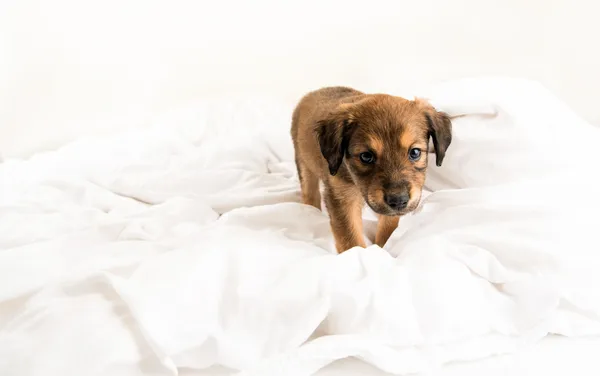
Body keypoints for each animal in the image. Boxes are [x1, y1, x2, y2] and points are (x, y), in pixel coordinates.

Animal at [290, 86, 450, 254]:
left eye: (415, 152)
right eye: (366, 156)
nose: (399, 200)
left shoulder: (390, 211)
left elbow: (388, 227)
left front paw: (383, 247)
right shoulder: (341, 198)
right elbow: (351, 239)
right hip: (304, 164)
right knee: (310, 193)